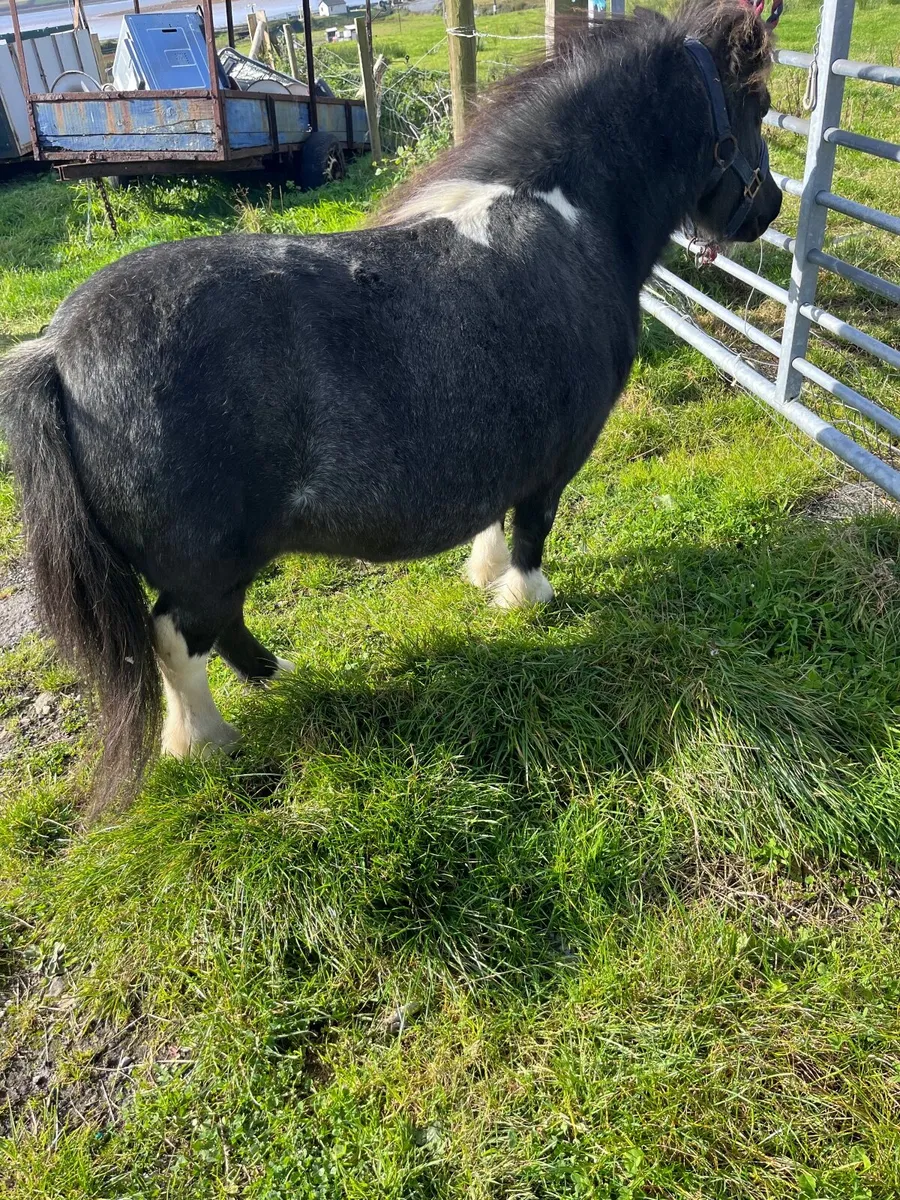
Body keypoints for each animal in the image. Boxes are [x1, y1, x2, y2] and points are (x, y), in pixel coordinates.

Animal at [0, 0, 782, 816]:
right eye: (757, 103)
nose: (770, 208)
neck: (570, 218)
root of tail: (55, 350)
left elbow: (497, 514)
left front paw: (484, 575)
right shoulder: (558, 456)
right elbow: (535, 525)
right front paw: (526, 598)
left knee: (223, 627)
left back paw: (281, 675)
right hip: (203, 564)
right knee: (179, 640)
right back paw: (207, 743)